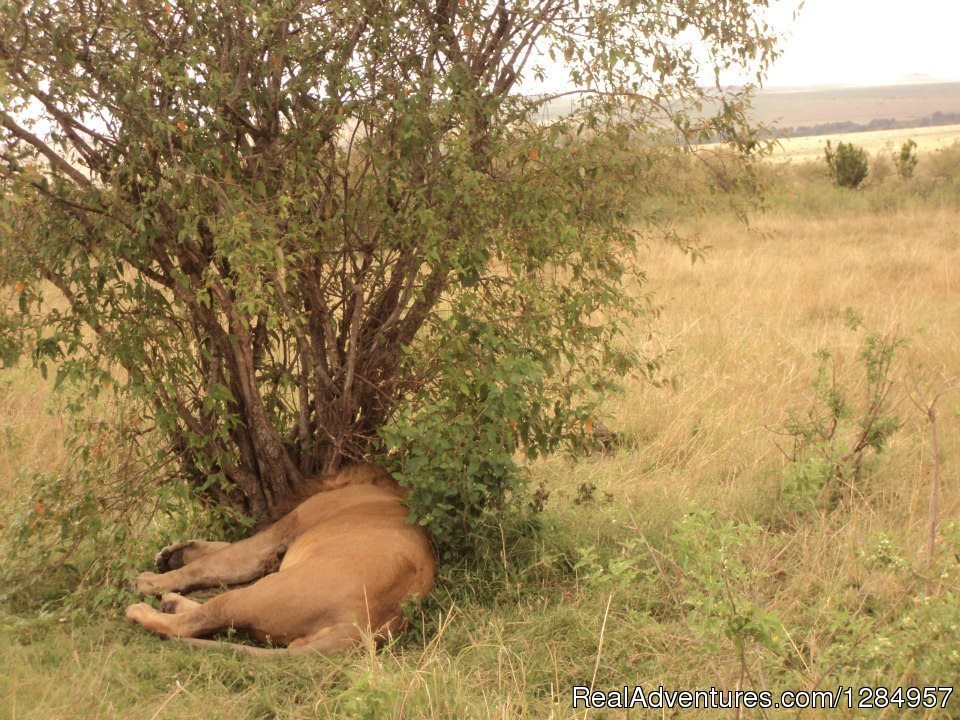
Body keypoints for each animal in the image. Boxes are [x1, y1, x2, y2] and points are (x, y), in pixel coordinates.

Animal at [124, 464, 436, 656]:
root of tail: (361, 625)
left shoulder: (280, 532)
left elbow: (218, 560)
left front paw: (151, 581)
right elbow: (220, 551)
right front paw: (173, 554)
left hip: (259, 593)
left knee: (198, 620)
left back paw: (144, 609)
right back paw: (170, 601)